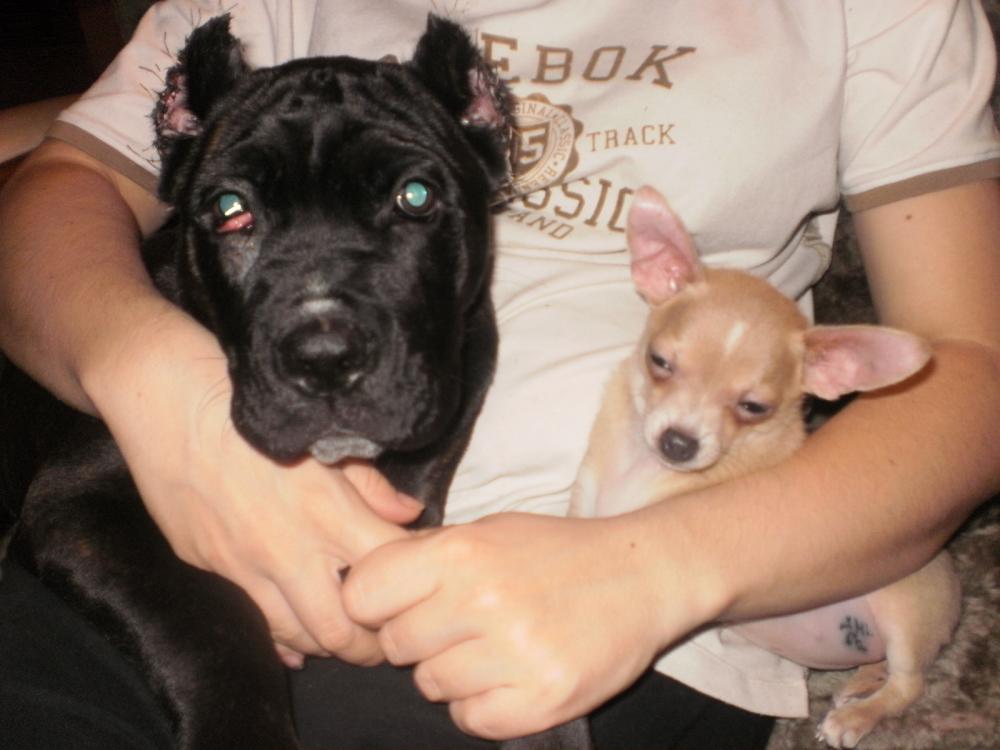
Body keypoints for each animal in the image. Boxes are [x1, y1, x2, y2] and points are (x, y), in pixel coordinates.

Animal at [566, 186, 960, 749]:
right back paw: (859, 684)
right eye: (659, 361)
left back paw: (857, 716)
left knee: (910, 683)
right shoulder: (585, 502)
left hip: (903, 607)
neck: (639, 470)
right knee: (885, 666)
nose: (678, 442)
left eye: (754, 407)